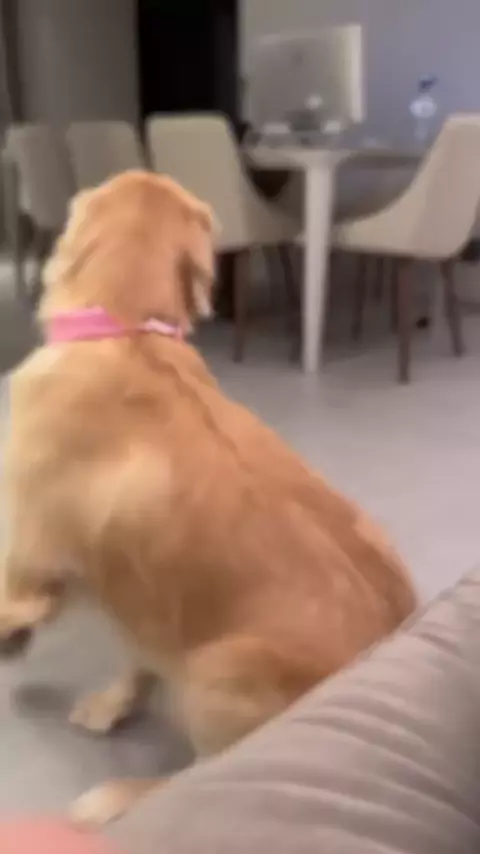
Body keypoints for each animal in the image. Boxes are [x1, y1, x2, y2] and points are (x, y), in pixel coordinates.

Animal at [0, 171, 417, 825]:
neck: (129, 330)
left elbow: (17, 602)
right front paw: (115, 703)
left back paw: (113, 798)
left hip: (219, 668)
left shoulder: (27, 556)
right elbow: (138, 658)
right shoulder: (141, 598)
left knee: (198, 774)